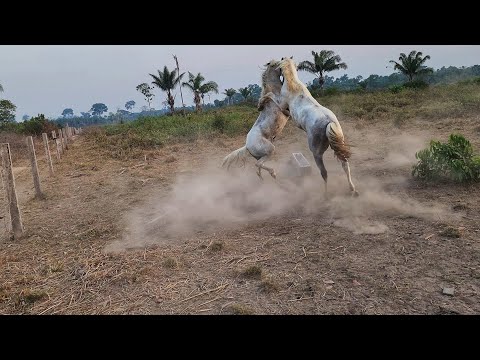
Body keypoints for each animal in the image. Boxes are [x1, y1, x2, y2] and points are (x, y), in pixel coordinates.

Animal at [276, 57, 358, 197]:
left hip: (317, 153)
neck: (293, 85)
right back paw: (352, 189)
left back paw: (326, 194)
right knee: (345, 165)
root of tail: (328, 122)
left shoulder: (283, 108)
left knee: (324, 173)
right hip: (339, 143)